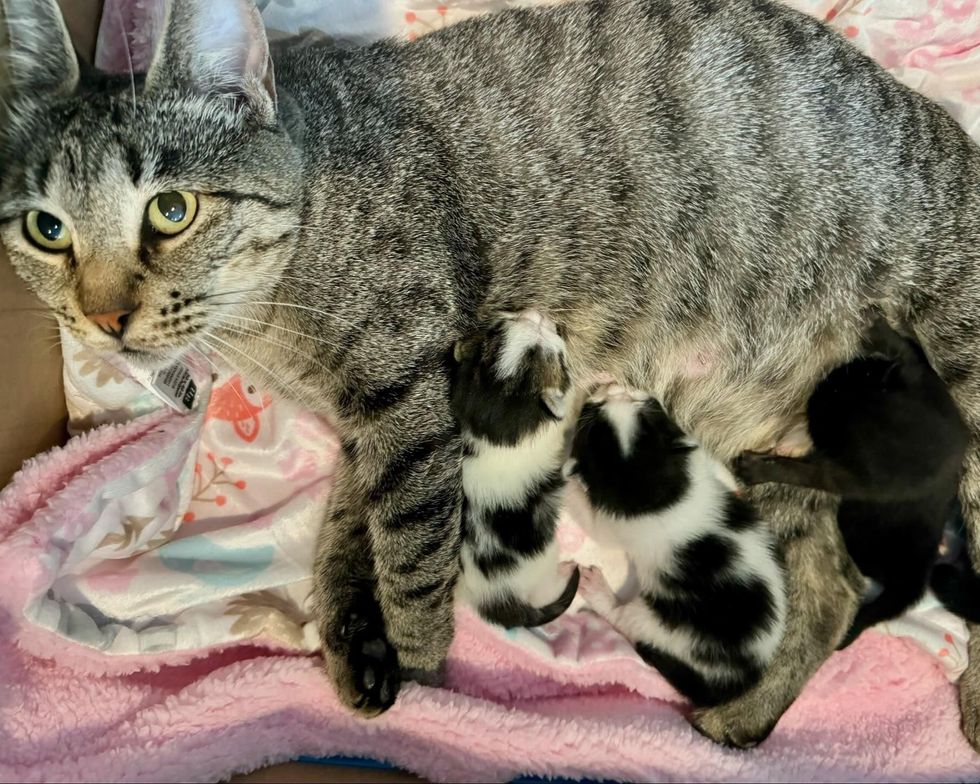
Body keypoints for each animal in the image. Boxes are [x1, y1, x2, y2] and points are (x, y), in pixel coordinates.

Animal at [568, 382, 788, 708]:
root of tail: (736, 682)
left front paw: (566, 481)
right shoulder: (693, 459)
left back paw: (597, 590)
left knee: (623, 618)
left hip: (663, 626)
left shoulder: (609, 521)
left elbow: (585, 512)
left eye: (591, 415)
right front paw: (735, 487)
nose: (608, 385)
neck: (660, 482)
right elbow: (716, 468)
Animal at [740, 318, 968, 648]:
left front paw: (757, 467)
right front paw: (880, 329)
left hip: (857, 531)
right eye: (858, 371)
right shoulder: (927, 389)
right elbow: (910, 354)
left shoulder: (844, 473)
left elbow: (799, 473)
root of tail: (918, 572)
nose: (819, 387)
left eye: (821, 403)